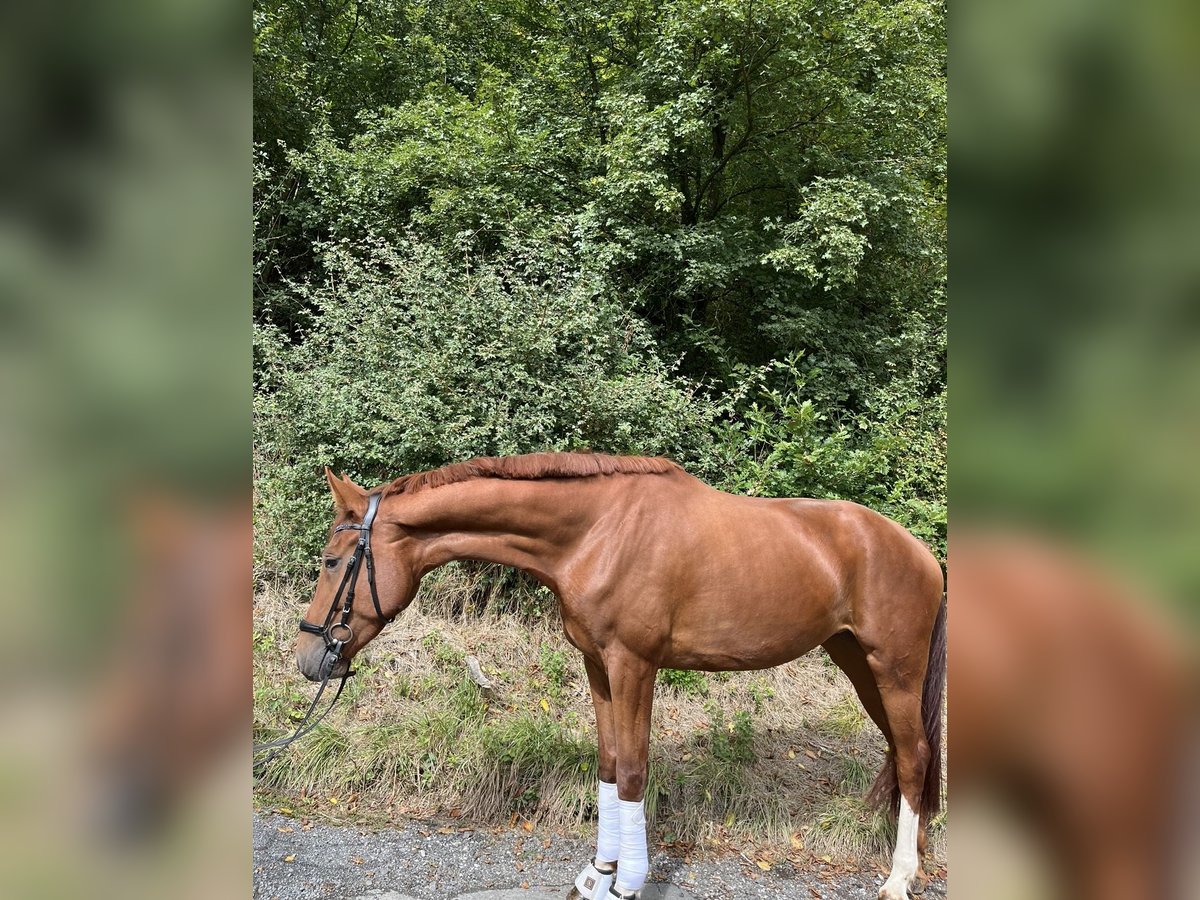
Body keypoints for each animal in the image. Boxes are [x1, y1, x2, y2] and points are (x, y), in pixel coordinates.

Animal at [295, 458, 940, 900]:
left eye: (332, 562)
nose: (309, 656)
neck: (596, 531)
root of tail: (921, 552)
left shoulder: (634, 664)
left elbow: (632, 769)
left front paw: (627, 881)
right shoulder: (597, 664)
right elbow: (607, 763)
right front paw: (599, 870)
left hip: (893, 668)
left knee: (913, 756)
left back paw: (898, 878)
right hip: (856, 662)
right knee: (908, 752)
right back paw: (914, 858)